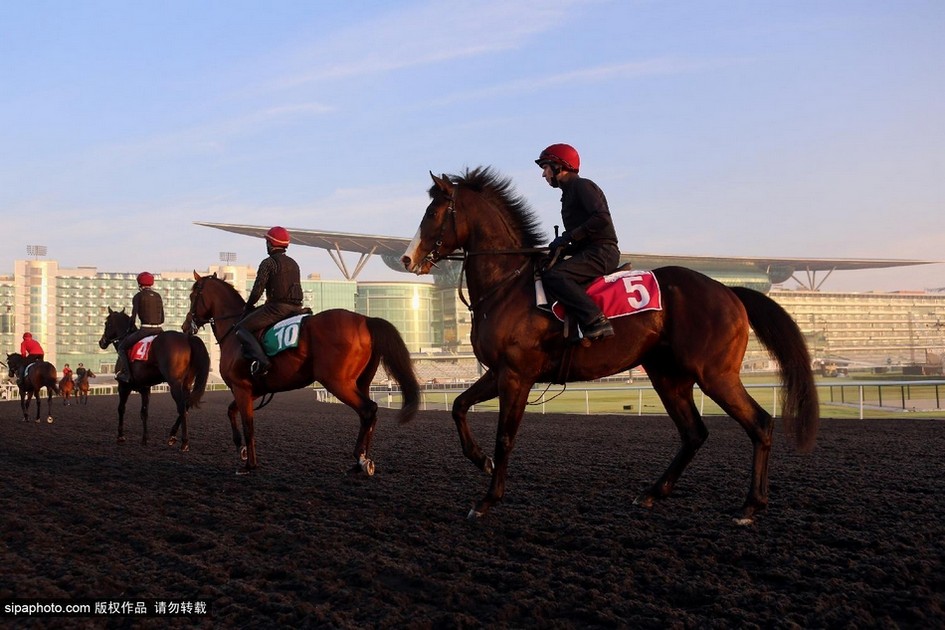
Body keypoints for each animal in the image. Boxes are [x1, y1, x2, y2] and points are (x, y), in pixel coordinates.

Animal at [97, 310, 210, 450]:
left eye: (107, 323)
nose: (101, 342)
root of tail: (188, 338)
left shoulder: (123, 386)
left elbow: (121, 409)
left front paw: (121, 437)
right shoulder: (145, 388)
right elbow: (144, 412)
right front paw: (144, 440)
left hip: (174, 384)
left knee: (182, 408)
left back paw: (184, 442)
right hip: (187, 383)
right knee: (187, 405)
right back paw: (172, 435)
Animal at [184, 274, 420, 476]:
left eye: (193, 295)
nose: (186, 326)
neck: (234, 332)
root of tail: (365, 320)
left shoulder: (241, 387)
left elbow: (248, 425)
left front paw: (249, 465)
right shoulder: (253, 390)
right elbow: (231, 411)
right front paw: (240, 448)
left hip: (337, 382)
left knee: (368, 409)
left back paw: (360, 459)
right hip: (360, 382)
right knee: (369, 414)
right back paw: (361, 461)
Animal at [400, 167, 820, 524]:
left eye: (434, 211)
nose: (407, 258)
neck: (509, 286)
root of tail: (729, 291)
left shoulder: (517, 375)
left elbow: (505, 437)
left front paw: (488, 499)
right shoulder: (500, 372)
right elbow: (458, 406)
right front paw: (480, 460)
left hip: (715, 374)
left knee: (759, 423)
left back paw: (751, 504)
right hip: (669, 377)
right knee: (694, 433)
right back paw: (653, 493)